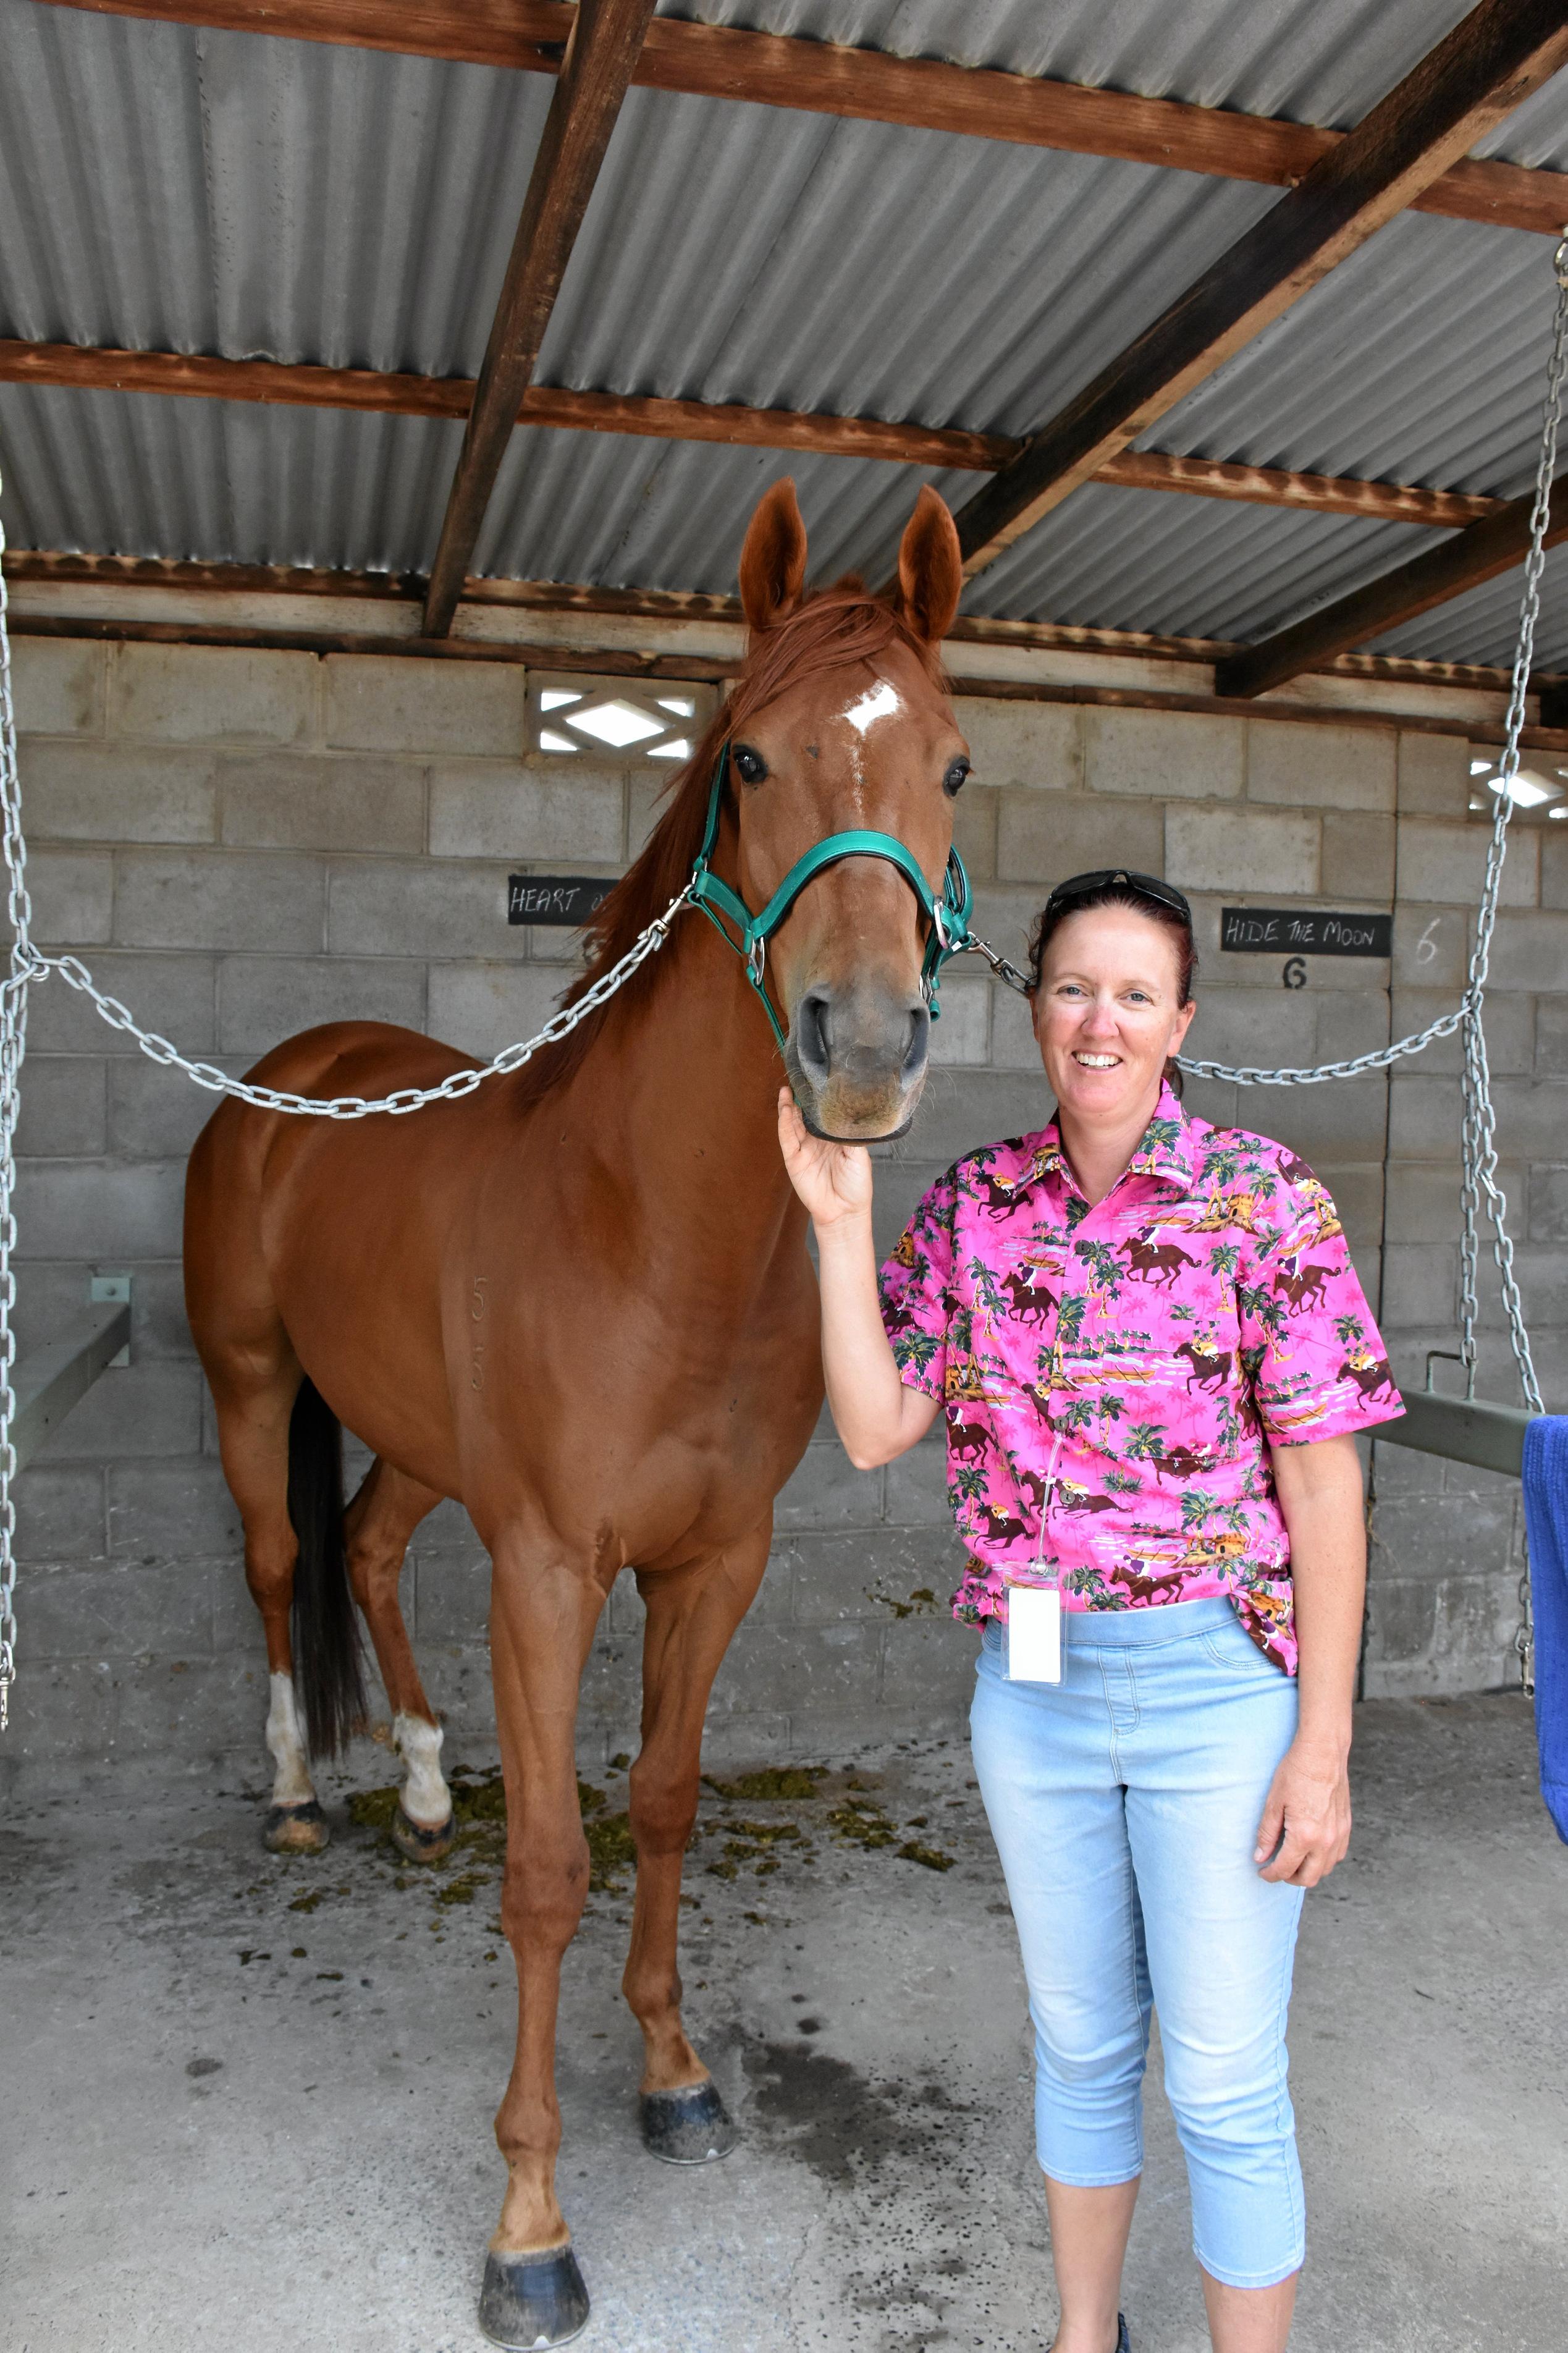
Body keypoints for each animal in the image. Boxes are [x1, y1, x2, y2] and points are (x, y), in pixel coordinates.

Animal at [180, 482, 965, 2353]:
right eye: (744, 759)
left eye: (956, 766)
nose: (864, 1045)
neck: (649, 1228)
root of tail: (294, 1077)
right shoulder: (544, 1569)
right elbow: (547, 1866)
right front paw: (528, 2230)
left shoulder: (714, 1564)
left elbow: (664, 1804)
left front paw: (673, 2074)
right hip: (253, 1385)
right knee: (277, 1562)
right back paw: (304, 1788)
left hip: (409, 1444)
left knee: (366, 1550)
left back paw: (414, 1783)